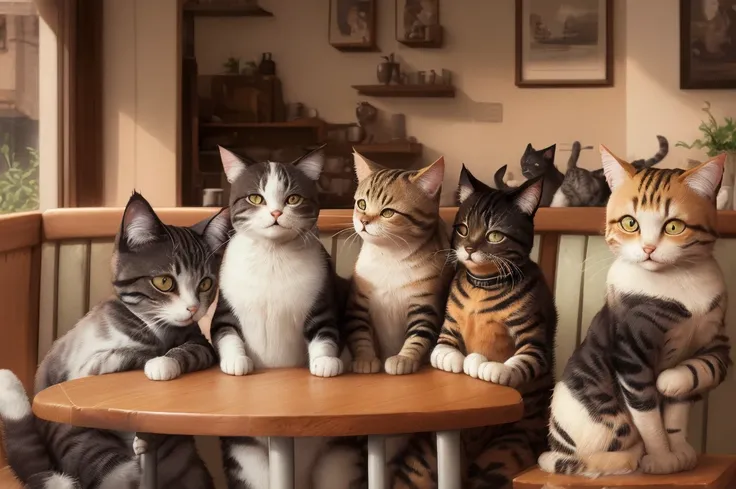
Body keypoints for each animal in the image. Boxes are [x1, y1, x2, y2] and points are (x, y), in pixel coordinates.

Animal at [0, 192, 230, 488]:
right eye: (164, 282)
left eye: (205, 284)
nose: (192, 309)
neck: (155, 329)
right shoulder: (79, 362)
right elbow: (118, 356)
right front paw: (150, 356)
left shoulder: (200, 342)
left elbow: (193, 351)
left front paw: (164, 362)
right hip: (83, 443)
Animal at [392, 165, 556, 488]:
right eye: (463, 229)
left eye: (494, 235)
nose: (468, 248)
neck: (483, 287)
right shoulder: (447, 330)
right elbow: (443, 353)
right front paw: (461, 361)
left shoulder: (535, 340)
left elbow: (519, 363)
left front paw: (488, 366)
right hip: (422, 463)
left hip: (504, 452)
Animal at [536, 147, 732, 474]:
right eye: (630, 223)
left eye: (674, 226)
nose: (648, 249)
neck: (681, 284)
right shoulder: (630, 355)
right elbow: (648, 416)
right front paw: (662, 457)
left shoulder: (717, 342)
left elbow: (699, 376)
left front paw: (678, 445)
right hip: (597, 419)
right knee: (576, 457)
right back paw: (627, 458)